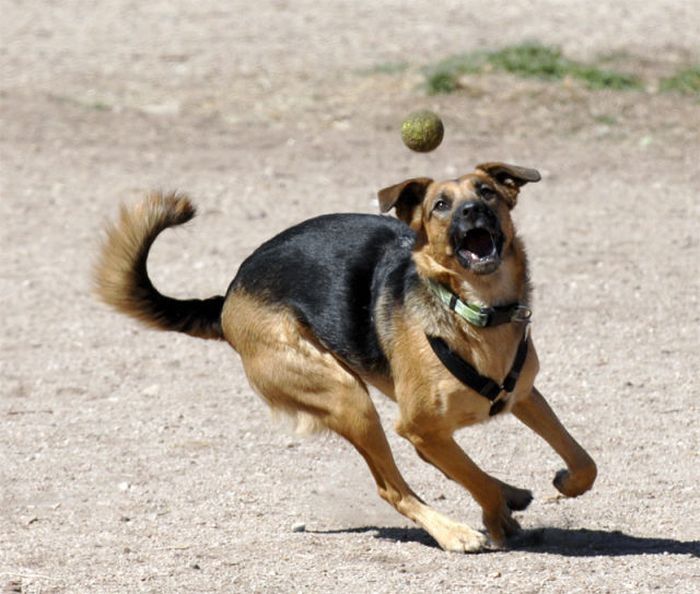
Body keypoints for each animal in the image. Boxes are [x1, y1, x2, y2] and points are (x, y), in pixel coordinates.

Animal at [93, 162, 596, 552]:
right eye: (440, 205)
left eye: (487, 191)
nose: (473, 211)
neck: (475, 313)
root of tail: (227, 296)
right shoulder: (417, 424)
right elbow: (475, 480)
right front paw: (495, 521)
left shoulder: (525, 396)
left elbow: (583, 461)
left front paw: (559, 484)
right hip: (346, 397)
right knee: (393, 487)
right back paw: (453, 532)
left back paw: (507, 495)